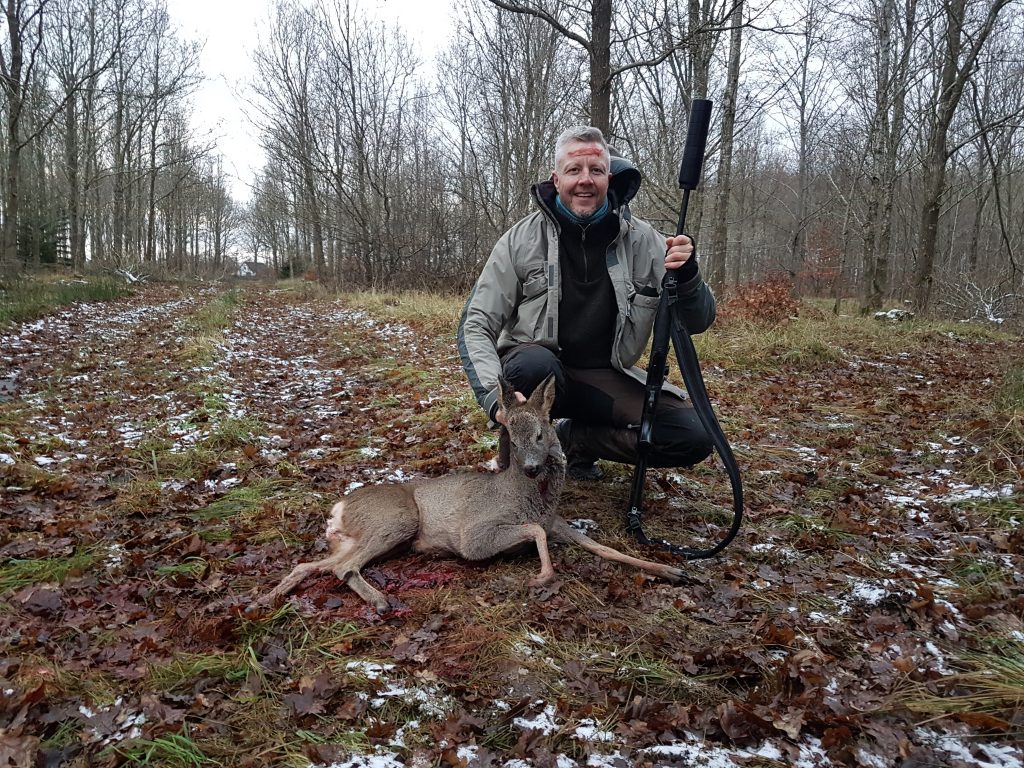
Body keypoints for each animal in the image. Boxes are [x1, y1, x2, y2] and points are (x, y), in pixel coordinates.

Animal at [253, 372, 688, 614]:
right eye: (511, 436)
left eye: (541, 433)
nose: (531, 468)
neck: (530, 499)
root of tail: (339, 507)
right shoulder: (475, 536)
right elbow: (534, 533)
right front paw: (542, 577)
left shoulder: (559, 523)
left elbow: (606, 548)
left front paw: (672, 570)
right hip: (397, 519)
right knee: (342, 569)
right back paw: (379, 601)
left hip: (360, 539)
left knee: (310, 566)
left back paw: (265, 599)